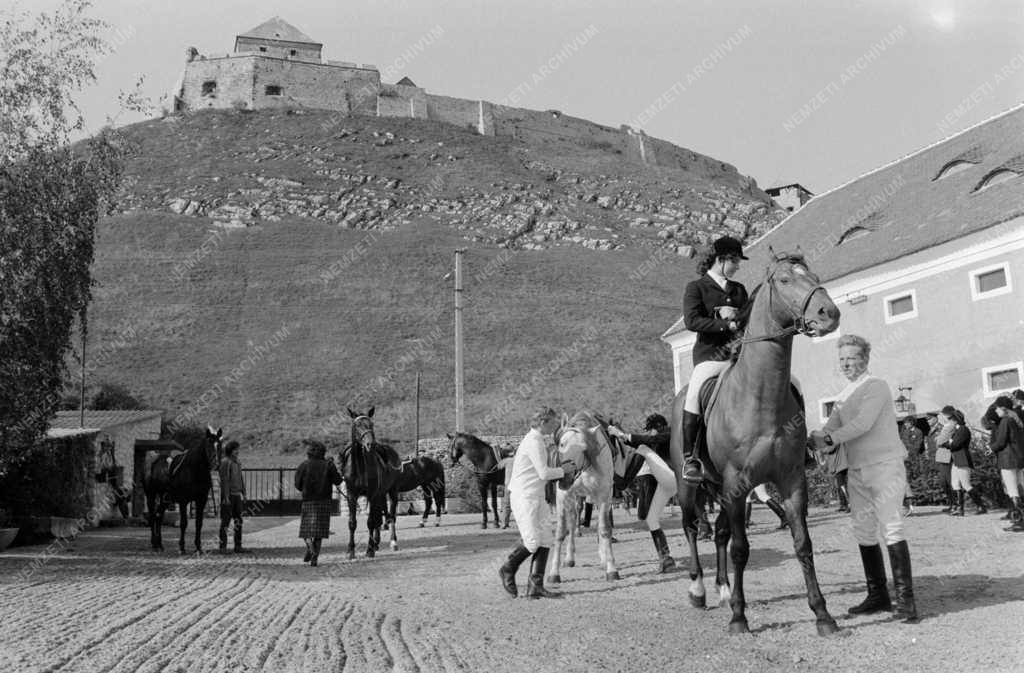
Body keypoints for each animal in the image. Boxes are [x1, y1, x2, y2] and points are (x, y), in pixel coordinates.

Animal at [335, 407, 399, 557]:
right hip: (381, 495)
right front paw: (350, 550)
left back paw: (392, 542)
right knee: (379, 518)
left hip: (392, 492)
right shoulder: (351, 495)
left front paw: (369, 550)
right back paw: (376, 543)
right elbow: (352, 523)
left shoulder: (372, 494)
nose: (370, 444)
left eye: (371, 424)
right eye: (357, 425)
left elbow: (370, 522)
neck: (360, 466)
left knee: (391, 516)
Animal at [667, 250, 843, 635]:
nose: (830, 313)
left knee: (718, 534)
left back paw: (722, 588)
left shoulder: (792, 480)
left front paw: (822, 613)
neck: (761, 397)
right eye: (785, 280)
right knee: (692, 528)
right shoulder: (738, 482)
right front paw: (739, 617)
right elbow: (741, 550)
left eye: (814, 276)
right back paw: (699, 589)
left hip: (720, 488)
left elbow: (803, 544)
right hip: (691, 486)